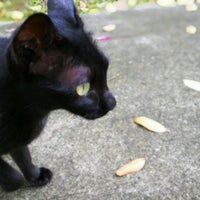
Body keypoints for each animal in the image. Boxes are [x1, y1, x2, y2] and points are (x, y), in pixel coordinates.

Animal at [0, 0, 115, 191]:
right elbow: (13, 177)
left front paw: (35, 176)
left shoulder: (18, 140)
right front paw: (10, 184)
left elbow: (23, 156)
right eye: (83, 88)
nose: (113, 103)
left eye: (106, 69)